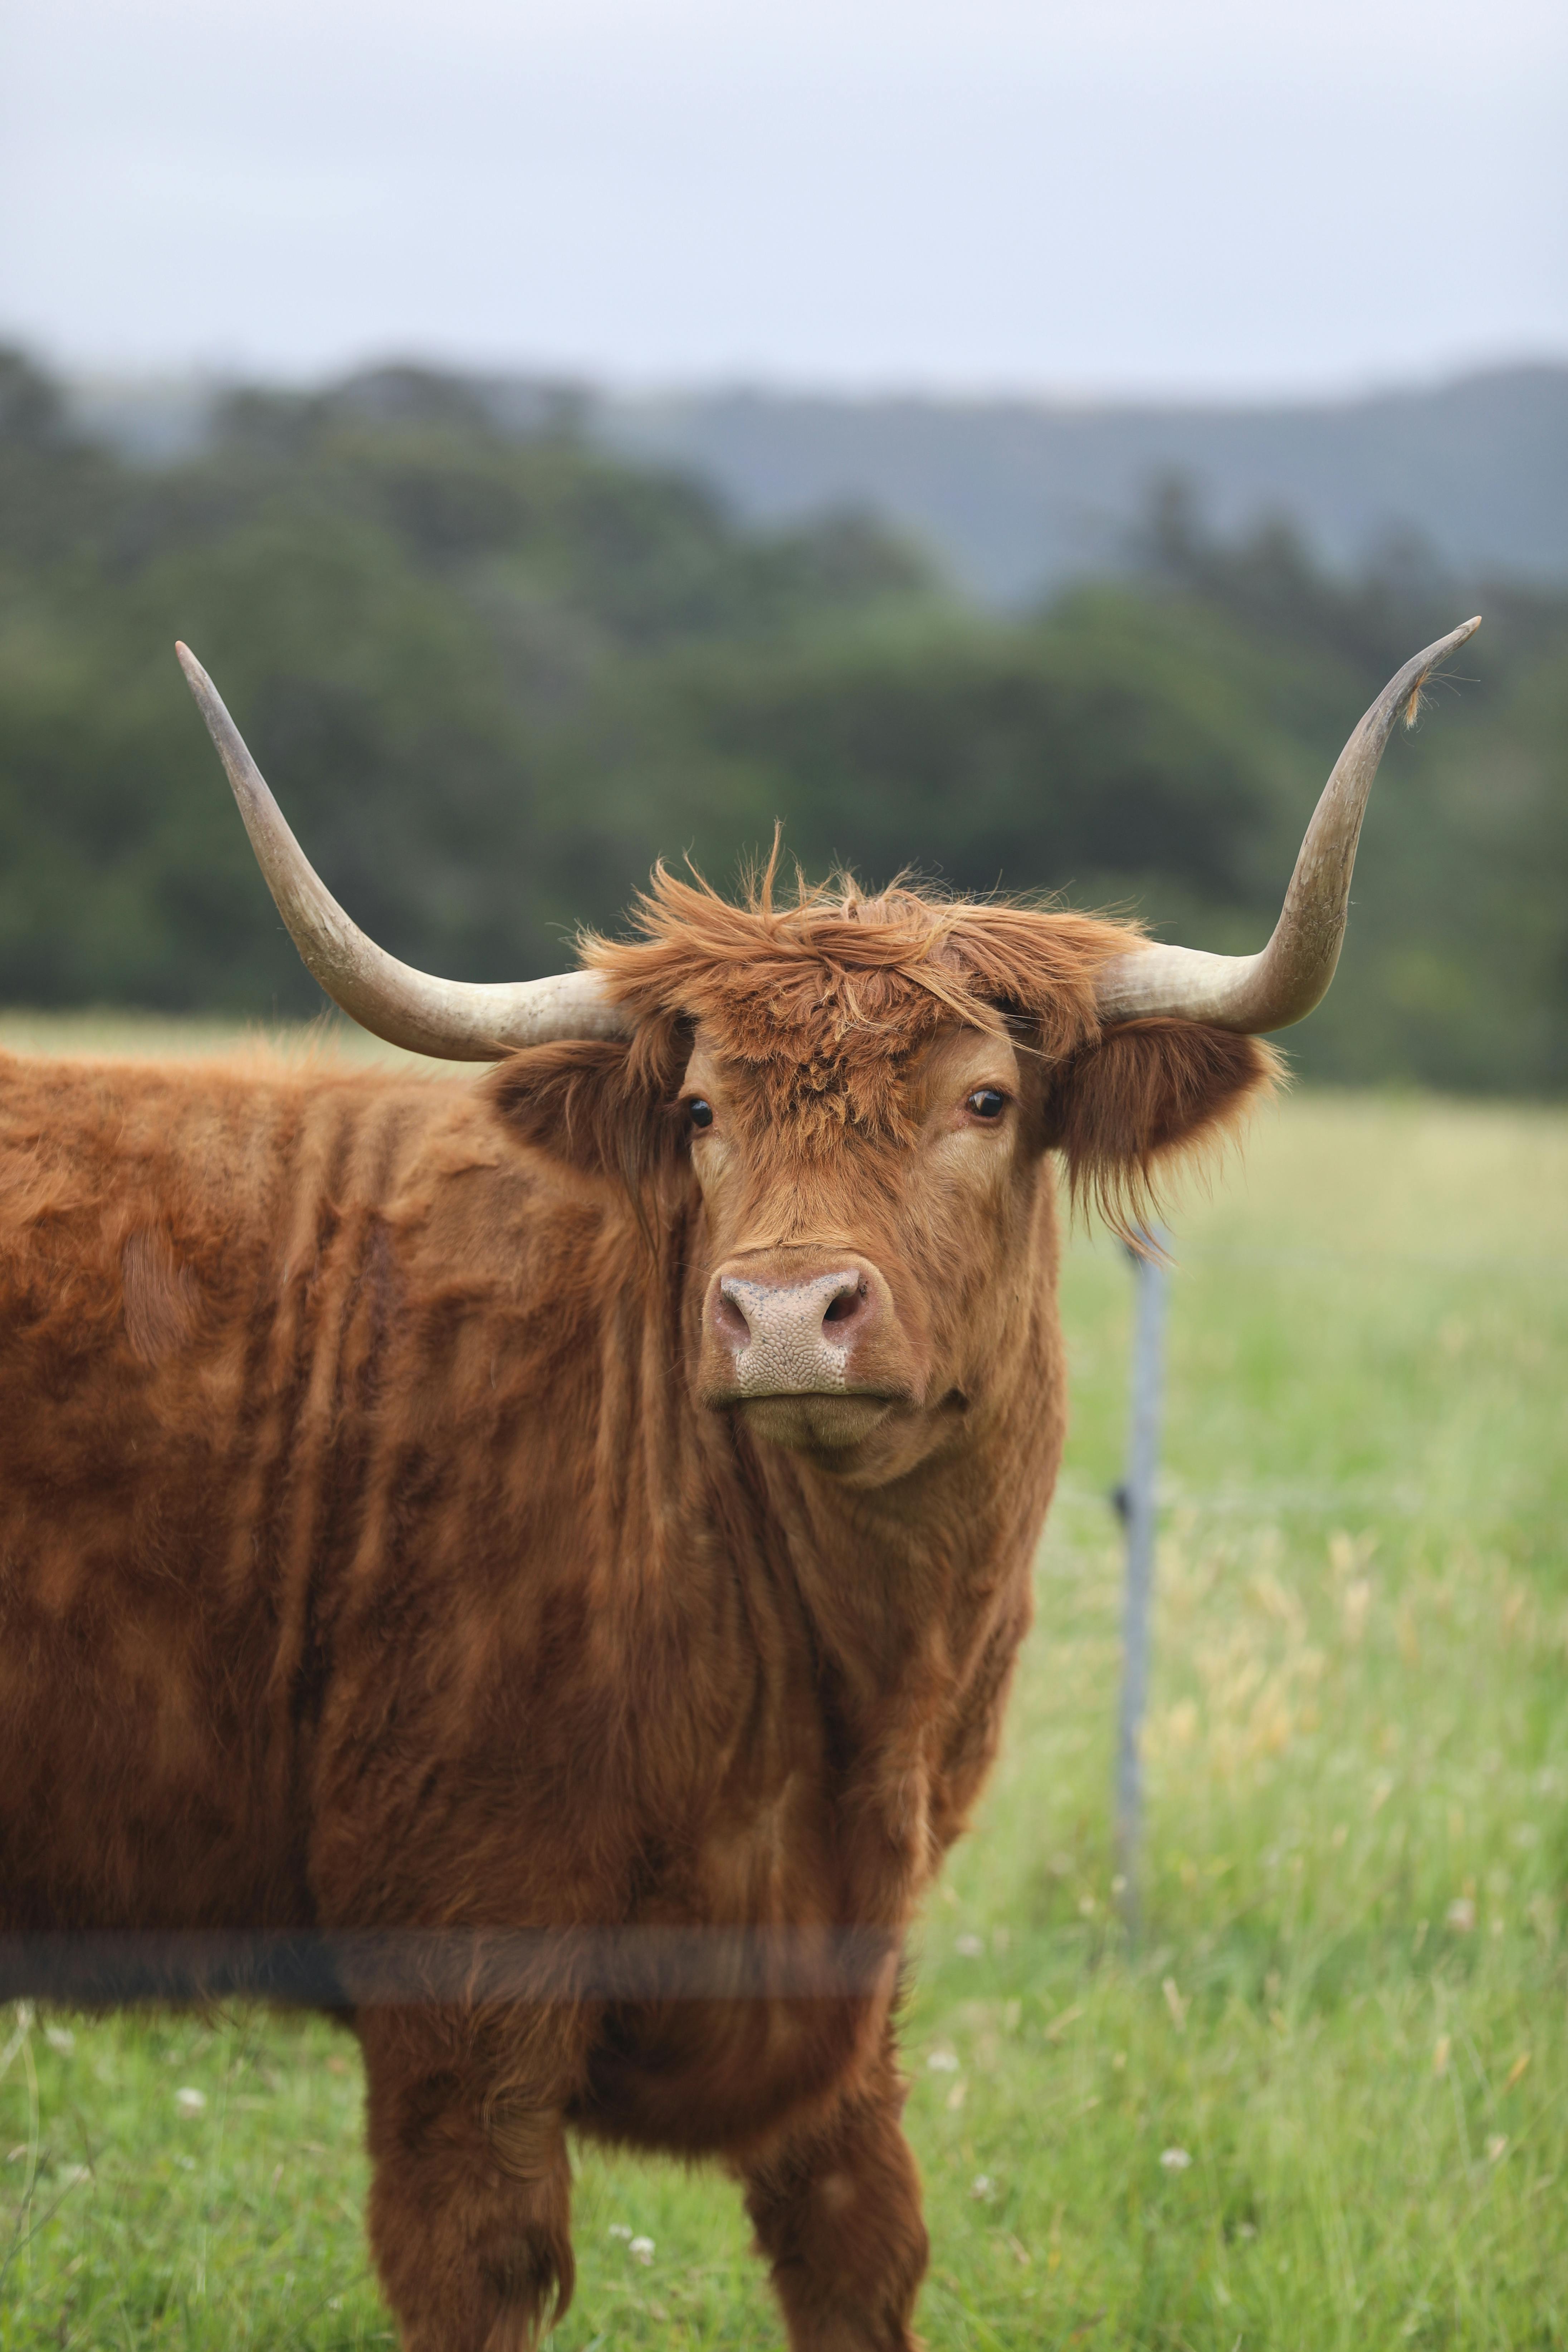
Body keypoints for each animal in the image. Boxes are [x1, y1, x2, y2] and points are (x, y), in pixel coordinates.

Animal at [0, 619, 1477, 2349]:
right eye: (702, 1110)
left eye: (985, 1098)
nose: (780, 1312)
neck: (842, 1674)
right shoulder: (461, 1963)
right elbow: (479, 2260)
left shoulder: (850, 1987)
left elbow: (861, 2245)